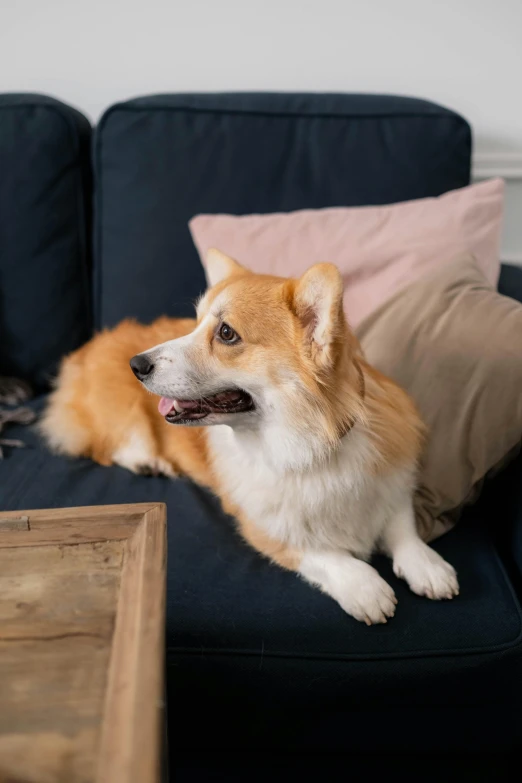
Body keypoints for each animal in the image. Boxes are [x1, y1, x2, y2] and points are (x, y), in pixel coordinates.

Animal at [40, 251, 456, 624]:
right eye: (194, 323)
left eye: (226, 333)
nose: (136, 365)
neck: (307, 445)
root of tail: (88, 348)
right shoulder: (265, 526)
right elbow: (321, 553)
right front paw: (364, 587)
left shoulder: (392, 481)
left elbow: (401, 523)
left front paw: (427, 564)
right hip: (118, 408)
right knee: (107, 442)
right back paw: (145, 459)